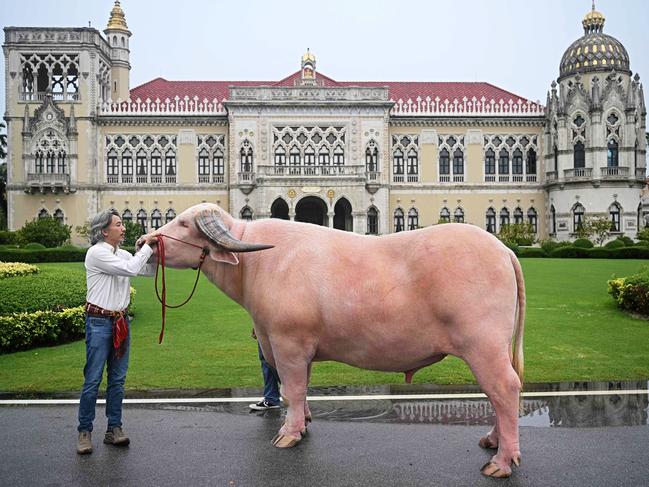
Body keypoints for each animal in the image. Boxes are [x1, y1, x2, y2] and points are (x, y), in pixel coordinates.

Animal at [144, 203, 524, 480]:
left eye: (183, 223)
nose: (144, 241)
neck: (257, 265)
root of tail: (502, 249)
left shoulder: (287, 343)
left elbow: (292, 389)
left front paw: (288, 433)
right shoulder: (300, 349)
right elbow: (300, 391)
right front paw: (304, 423)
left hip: (483, 345)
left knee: (504, 389)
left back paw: (502, 461)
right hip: (495, 348)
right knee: (499, 394)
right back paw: (493, 441)